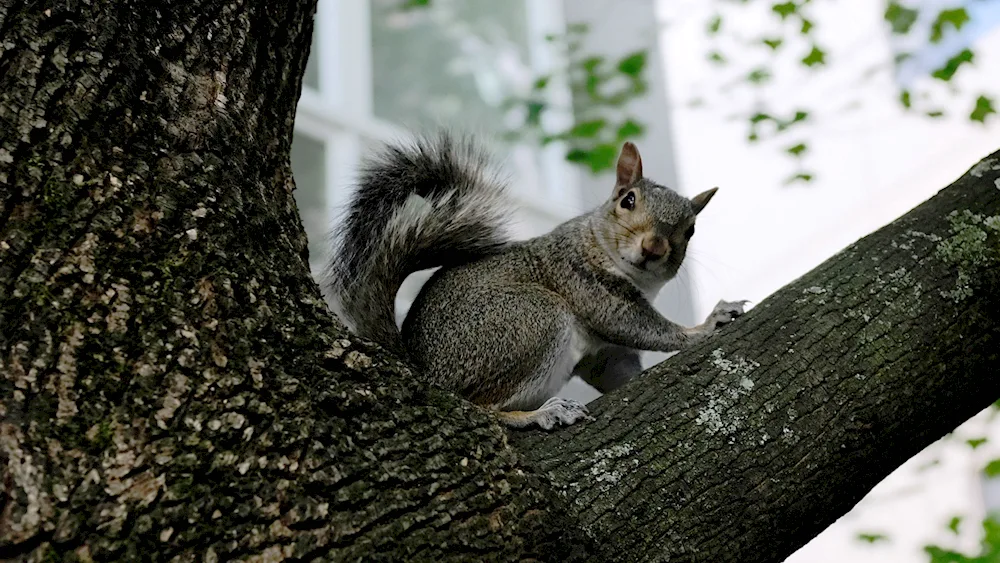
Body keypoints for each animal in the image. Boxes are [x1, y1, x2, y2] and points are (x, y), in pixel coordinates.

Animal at [324, 133, 748, 432]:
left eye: (690, 230)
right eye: (627, 200)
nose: (654, 247)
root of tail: (424, 370)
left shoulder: (604, 355)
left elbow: (615, 370)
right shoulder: (583, 281)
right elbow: (644, 327)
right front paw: (705, 325)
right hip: (533, 318)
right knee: (480, 406)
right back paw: (539, 415)